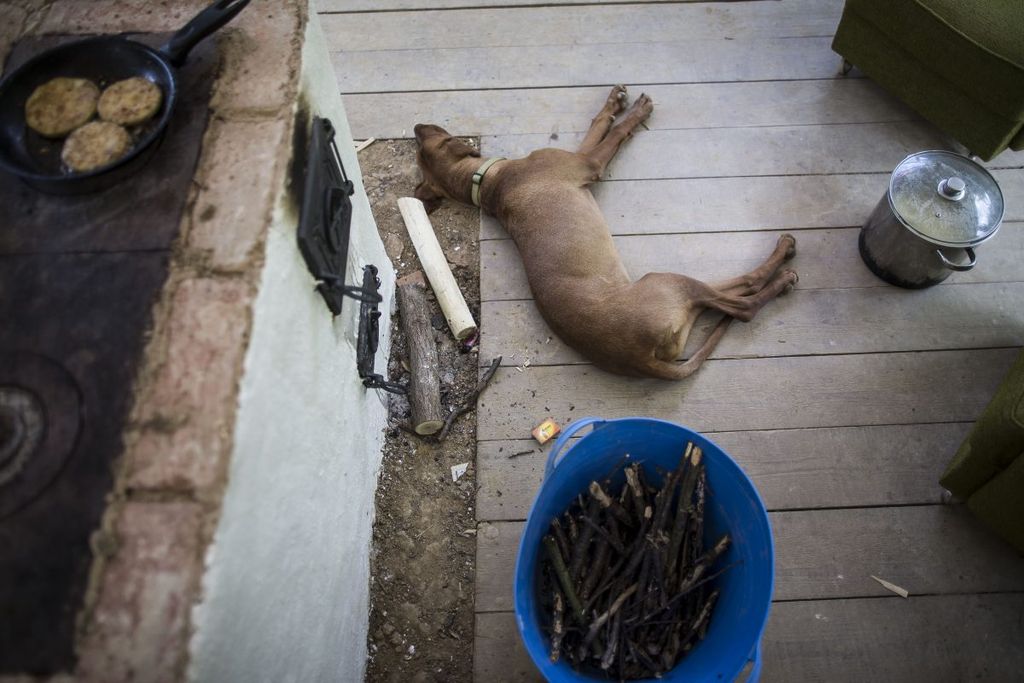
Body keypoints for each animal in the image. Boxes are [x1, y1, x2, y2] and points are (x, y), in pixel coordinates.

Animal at [411, 84, 794, 378]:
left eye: (422, 140)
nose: (415, 125)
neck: (489, 183)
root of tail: (639, 359)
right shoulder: (588, 163)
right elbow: (612, 135)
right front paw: (636, 111)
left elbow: (598, 125)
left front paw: (614, 101)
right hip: (666, 283)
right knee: (743, 301)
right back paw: (783, 268)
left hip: (678, 306)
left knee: (727, 298)